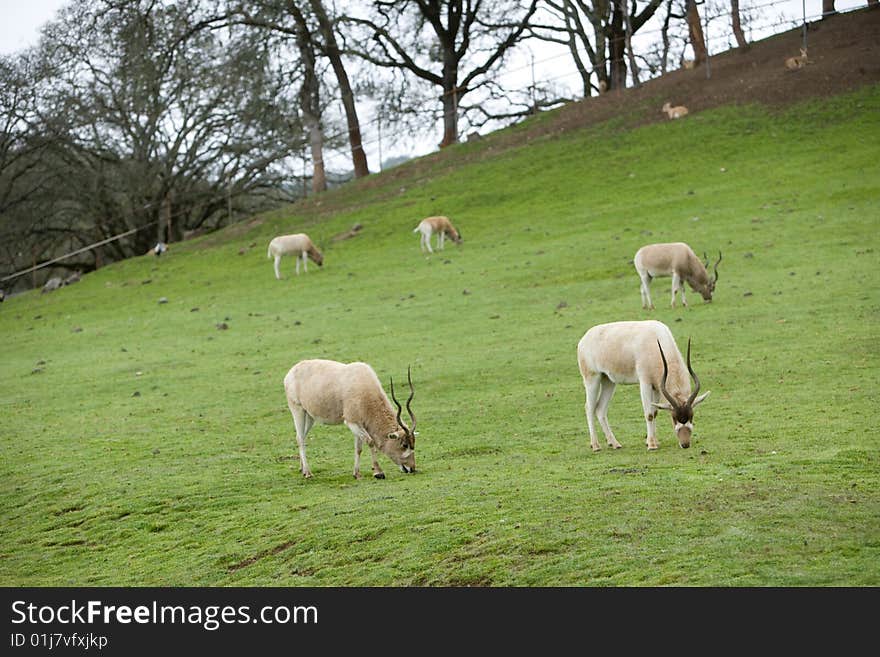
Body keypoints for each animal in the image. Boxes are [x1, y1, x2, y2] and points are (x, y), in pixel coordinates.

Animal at [284, 356, 418, 480]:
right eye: (404, 445)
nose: (412, 468)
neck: (365, 387)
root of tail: (291, 373)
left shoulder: (359, 423)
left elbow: (358, 448)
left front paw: (357, 474)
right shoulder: (351, 421)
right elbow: (370, 442)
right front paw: (378, 472)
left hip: (310, 416)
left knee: (302, 436)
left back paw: (302, 469)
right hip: (298, 410)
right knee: (300, 438)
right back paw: (308, 473)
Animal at [576, 322, 708, 452]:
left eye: (691, 416)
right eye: (674, 417)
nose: (685, 444)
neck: (656, 340)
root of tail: (583, 340)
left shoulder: (656, 386)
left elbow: (655, 412)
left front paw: (654, 441)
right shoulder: (645, 382)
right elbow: (649, 414)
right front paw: (651, 445)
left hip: (608, 381)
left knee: (600, 409)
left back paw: (614, 443)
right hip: (592, 378)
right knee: (589, 408)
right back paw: (595, 446)